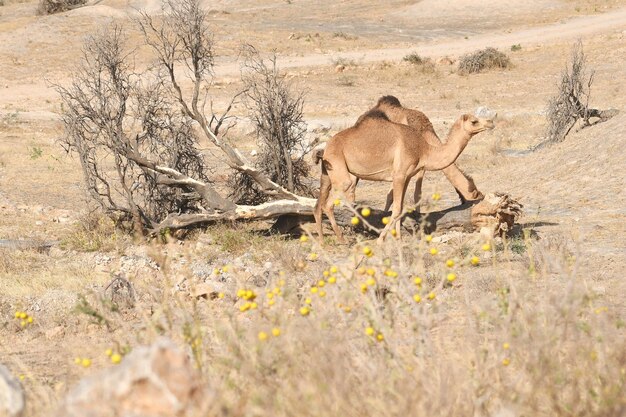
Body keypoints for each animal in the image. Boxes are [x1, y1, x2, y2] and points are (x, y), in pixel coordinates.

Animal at [312, 110, 492, 242]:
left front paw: (397, 238)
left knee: (318, 203)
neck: (424, 150)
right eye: (474, 121)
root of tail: (325, 149)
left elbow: (399, 207)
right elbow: (397, 208)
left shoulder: (407, 176)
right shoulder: (399, 174)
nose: (490, 122)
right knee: (329, 203)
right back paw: (342, 239)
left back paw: (321, 241)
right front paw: (381, 239)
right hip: (341, 171)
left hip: (327, 172)